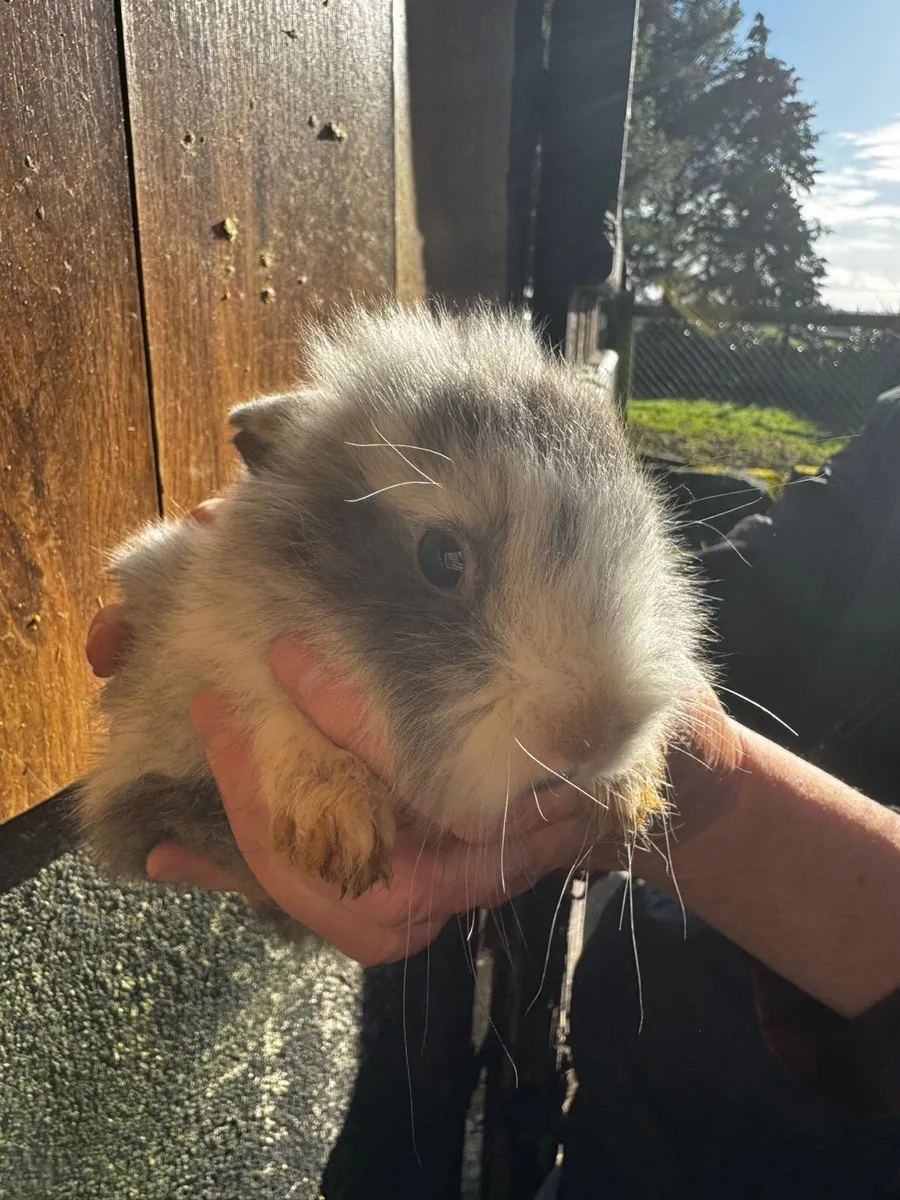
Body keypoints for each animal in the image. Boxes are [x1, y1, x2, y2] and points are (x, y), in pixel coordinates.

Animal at [76, 303, 708, 913]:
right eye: (442, 560)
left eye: (641, 525)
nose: (594, 736)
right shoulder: (211, 651)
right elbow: (264, 704)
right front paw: (339, 824)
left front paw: (636, 789)